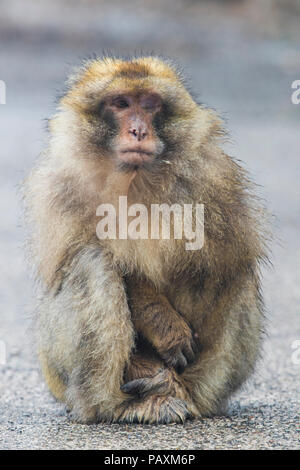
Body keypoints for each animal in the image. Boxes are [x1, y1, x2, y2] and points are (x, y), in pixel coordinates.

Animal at [22, 57, 268, 424]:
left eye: (150, 105)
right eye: (122, 103)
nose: (138, 130)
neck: (134, 180)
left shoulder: (213, 178)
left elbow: (218, 259)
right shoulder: (62, 183)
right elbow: (99, 257)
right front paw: (161, 325)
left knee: (238, 276)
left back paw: (183, 393)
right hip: (57, 374)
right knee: (90, 262)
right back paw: (119, 403)